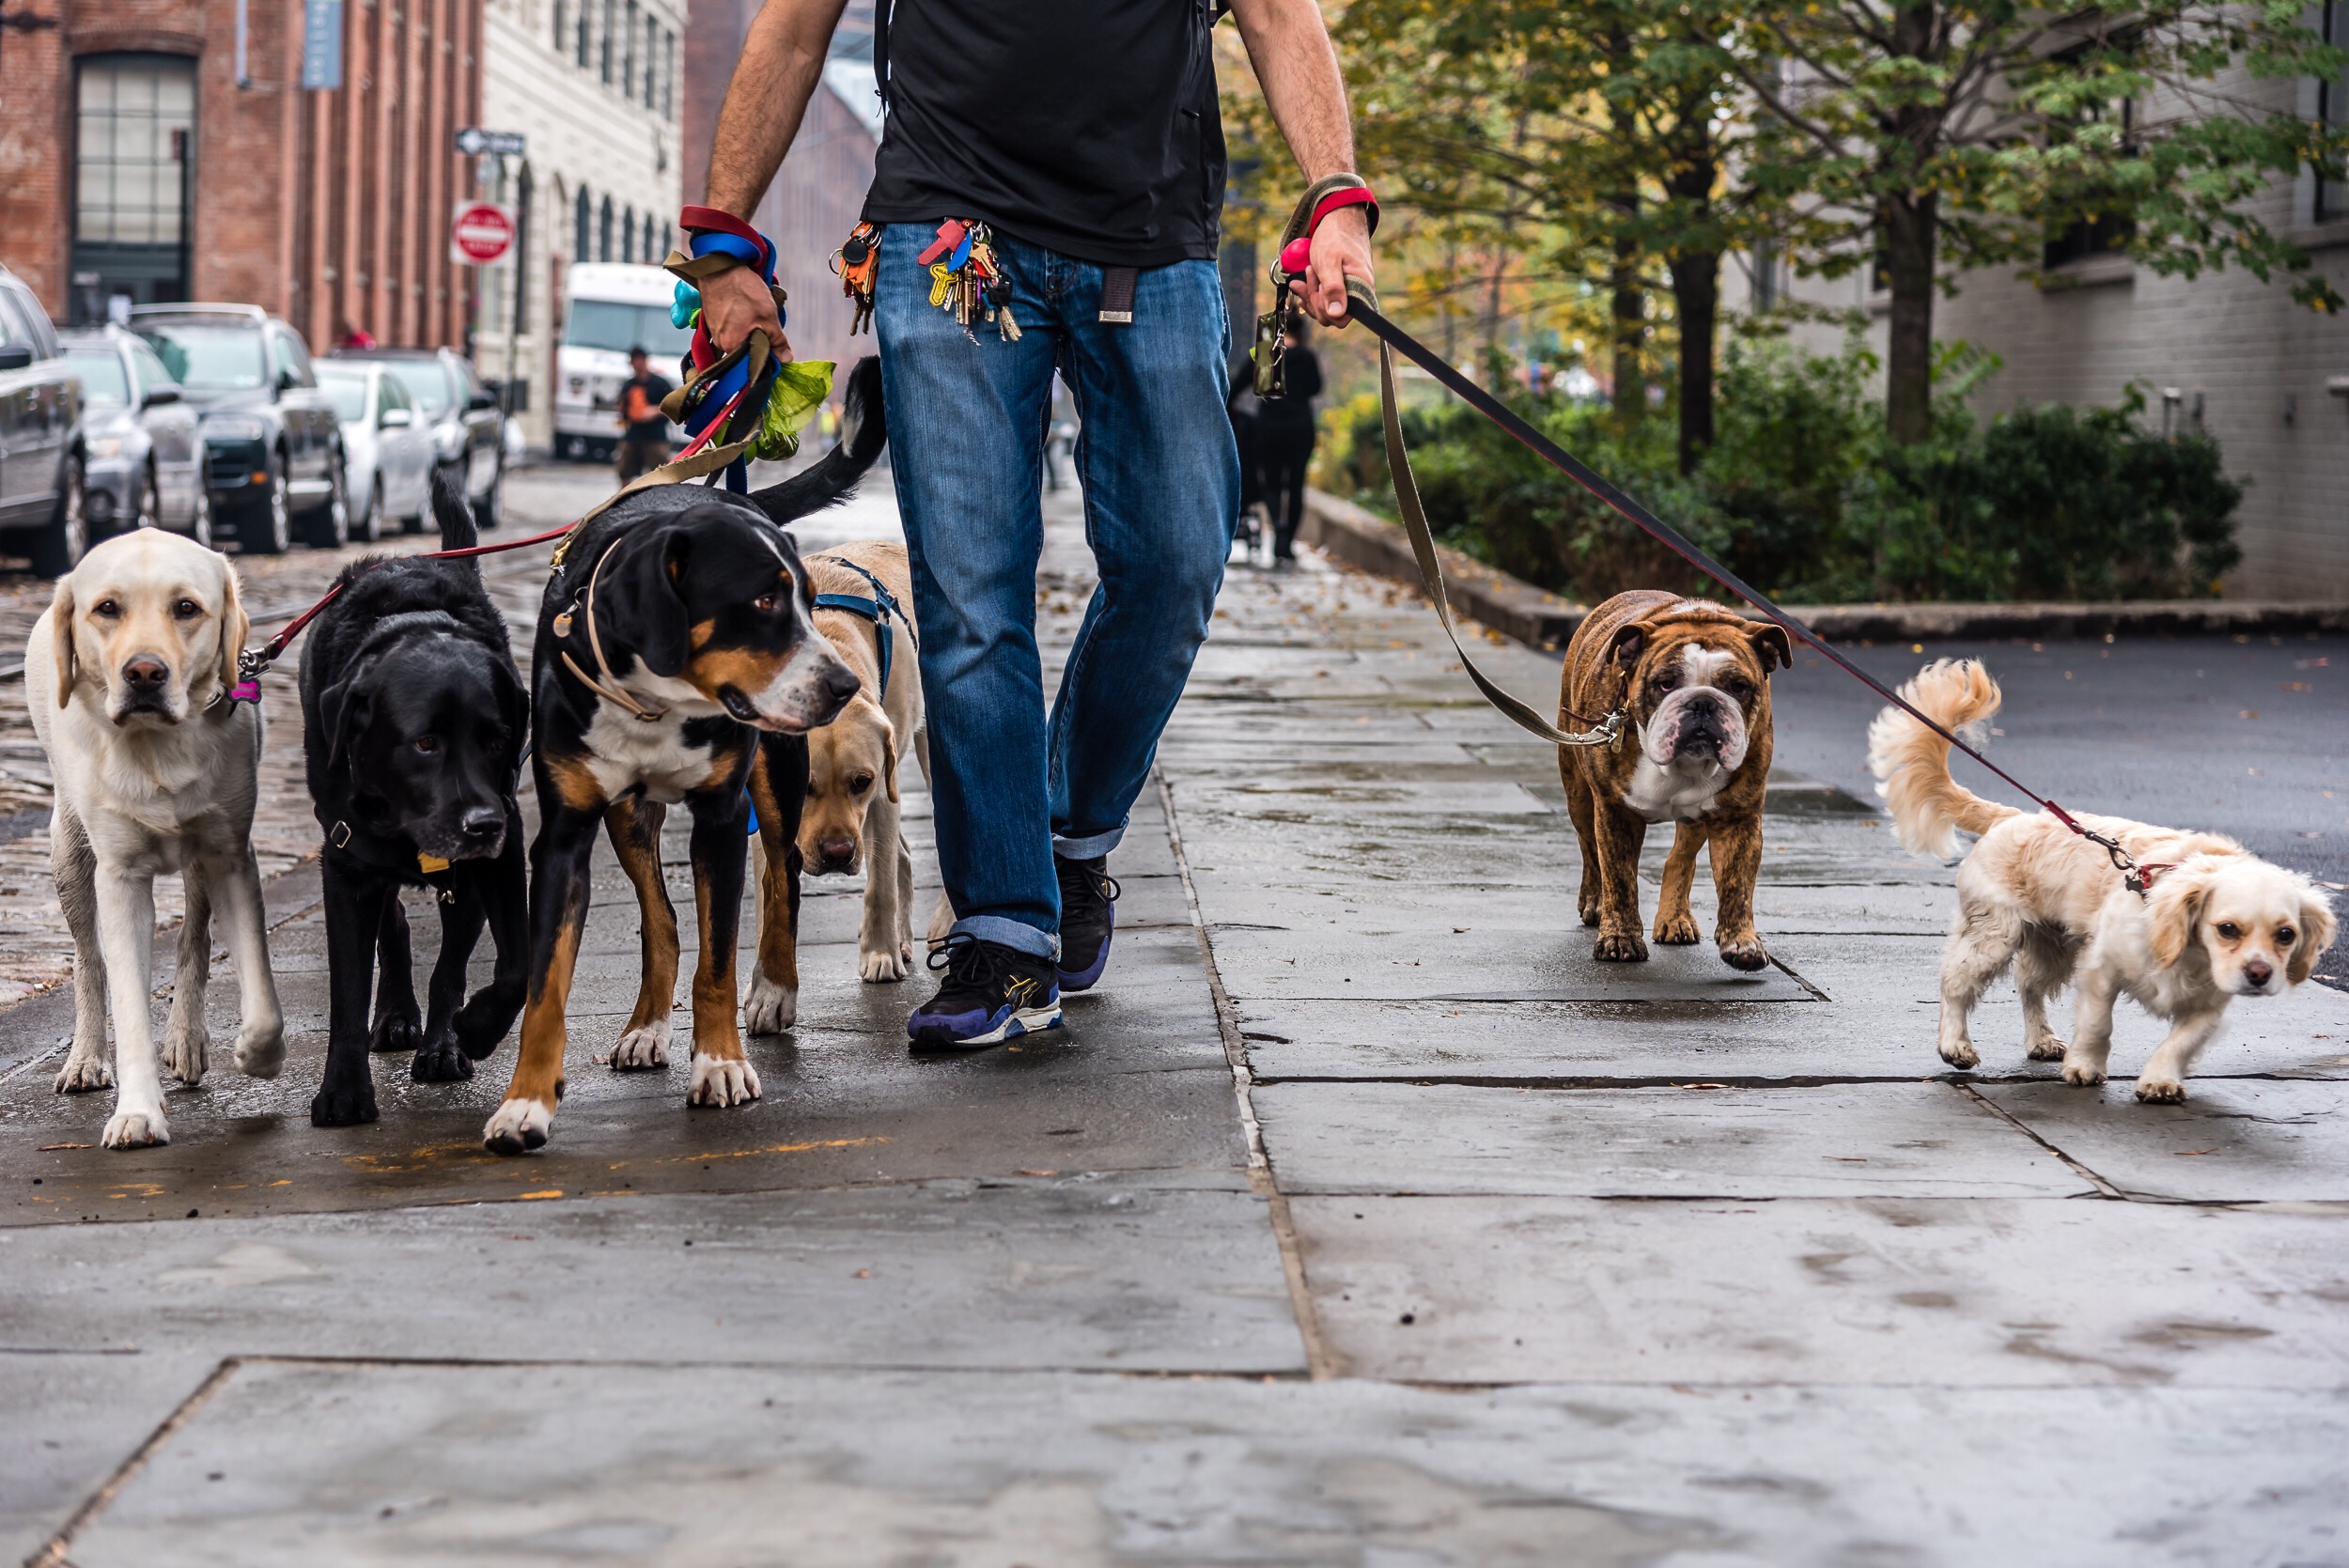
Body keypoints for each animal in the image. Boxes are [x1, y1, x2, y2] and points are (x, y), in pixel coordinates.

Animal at [26, 533, 284, 1145]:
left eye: (186, 608)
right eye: (107, 609)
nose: (144, 672)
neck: (156, 749)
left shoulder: (231, 856)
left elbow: (260, 993)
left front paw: (257, 1053)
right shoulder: (120, 877)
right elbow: (126, 999)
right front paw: (138, 1112)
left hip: (198, 864)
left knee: (193, 938)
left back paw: (186, 1038)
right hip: (68, 851)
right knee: (88, 959)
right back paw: (86, 1057)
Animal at [301, 469, 531, 1126]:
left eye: (497, 740)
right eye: (425, 742)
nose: (481, 824)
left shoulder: (500, 854)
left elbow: (507, 965)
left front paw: (466, 1034)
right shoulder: (344, 866)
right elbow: (349, 992)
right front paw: (344, 1091)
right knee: (395, 925)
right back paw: (398, 1016)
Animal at [481, 361, 883, 1159]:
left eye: (808, 601)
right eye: (762, 601)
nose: (842, 686)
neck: (657, 701)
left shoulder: (723, 819)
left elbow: (720, 961)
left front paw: (721, 1063)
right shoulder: (563, 836)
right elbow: (546, 987)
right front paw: (525, 1102)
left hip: (777, 782)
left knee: (782, 880)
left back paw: (776, 989)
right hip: (628, 816)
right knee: (660, 918)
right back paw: (645, 1027)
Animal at [1870, 661, 2330, 1103]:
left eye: (2286, 935)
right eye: (2228, 929)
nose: (2258, 975)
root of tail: (2012, 816)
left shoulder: (2209, 1005)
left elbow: (2180, 1042)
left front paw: (2160, 1081)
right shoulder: (2100, 968)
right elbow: (2097, 1023)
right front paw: (2085, 1068)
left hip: (2052, 947)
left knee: (2027, 986)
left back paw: (2041, 1039)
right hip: (1993, 937)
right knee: (1955, 983)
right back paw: (1955, 1044)